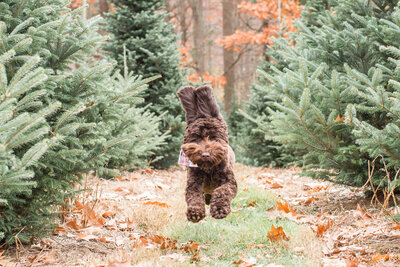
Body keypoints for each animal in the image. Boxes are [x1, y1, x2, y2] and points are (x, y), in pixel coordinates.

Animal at [177, 86, 236, 224]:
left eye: (214, 137)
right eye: (196, 138)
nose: (205, 154)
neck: (209, 168)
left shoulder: (230, 181)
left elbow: (222, 191)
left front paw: (219, 209)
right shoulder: (193, 183)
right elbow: (194, 196)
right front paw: (195, 213)